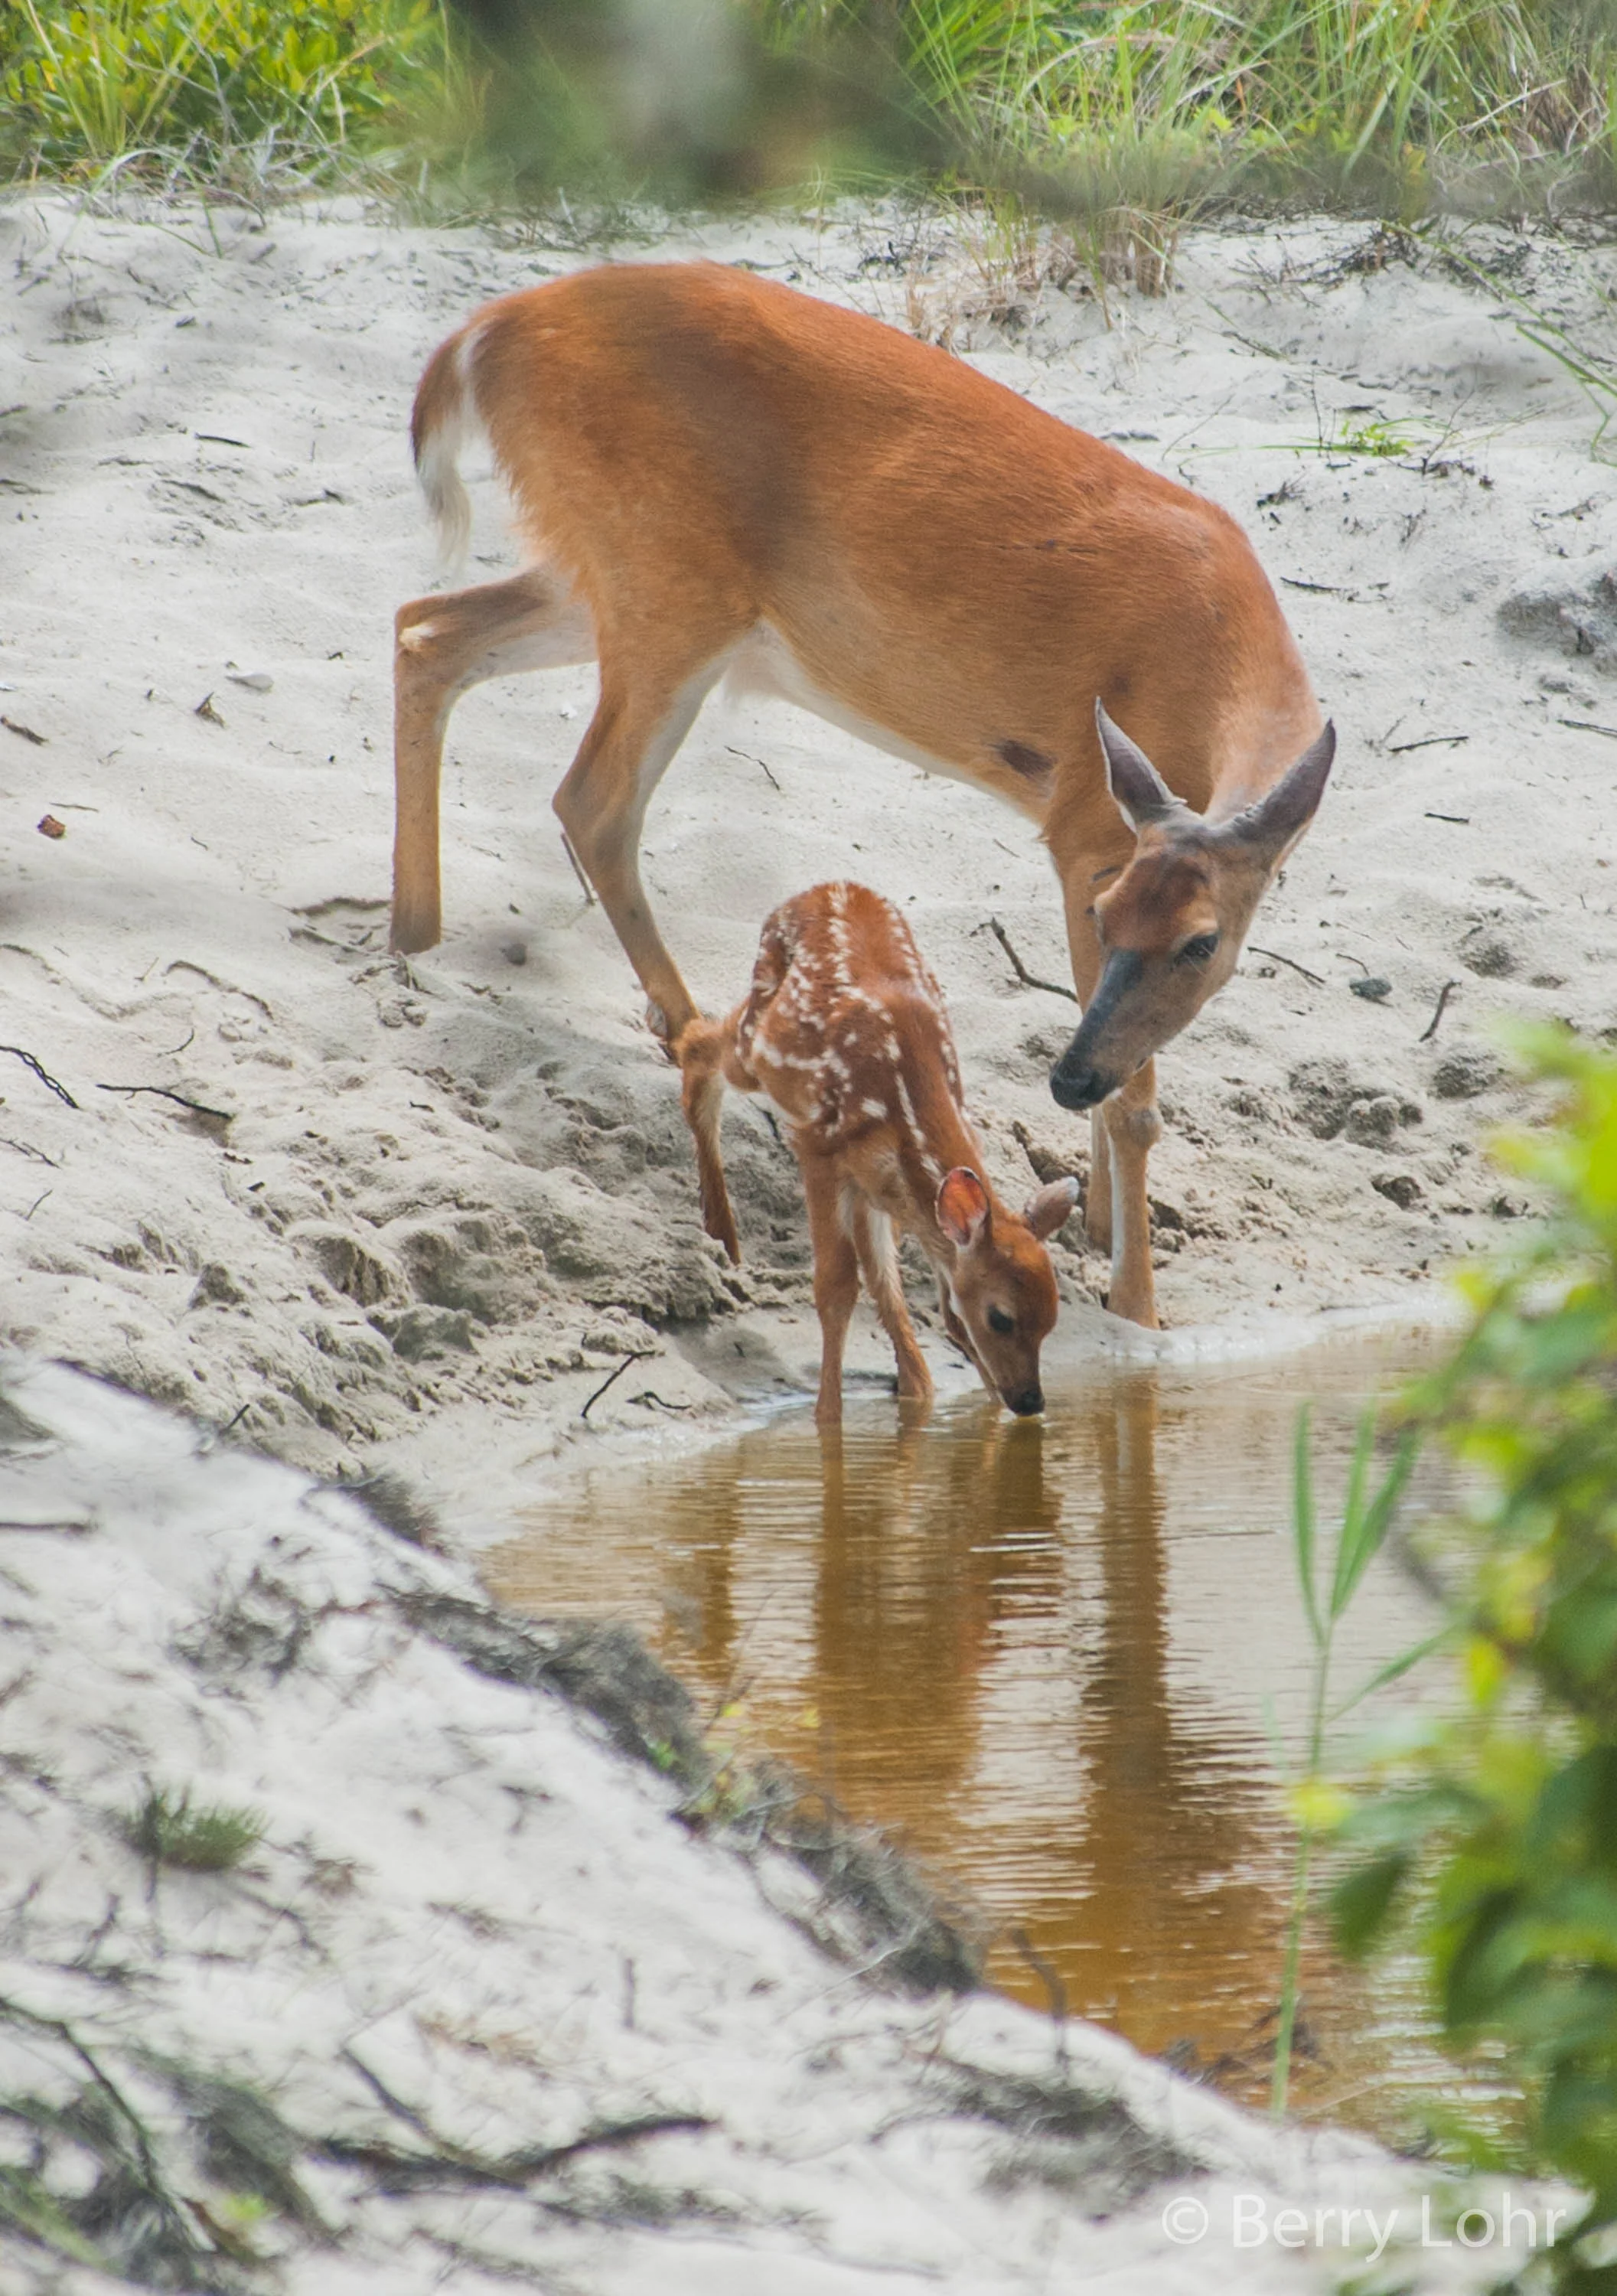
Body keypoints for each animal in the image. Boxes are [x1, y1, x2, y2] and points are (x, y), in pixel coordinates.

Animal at [393, 260, 1335, 1333]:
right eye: (1112, 917)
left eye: (1202, 943)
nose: (1064, 1076)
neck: (1209, 648)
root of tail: (480, 334)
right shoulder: (1080, 826)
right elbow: (1136, 1106)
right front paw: (1137, 1306)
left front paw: (1102, 1229)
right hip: (665, 578)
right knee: (588, 796)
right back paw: (683, 1031)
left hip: (598, 569)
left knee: (427, 631)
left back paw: (409, 937)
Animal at [675, 880, 1078, 1426]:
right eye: (1001, 1318)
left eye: (1053, 1319)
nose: (1030, 1402)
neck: (902, 1106)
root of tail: (823, 887)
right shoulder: (820, 1147)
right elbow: (837, 1286)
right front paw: (828, 1420)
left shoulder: (880, 1183)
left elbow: (897, 1290)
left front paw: (925, 1398)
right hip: (757, 1041)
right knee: (698, 1045)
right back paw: (722, 1232)